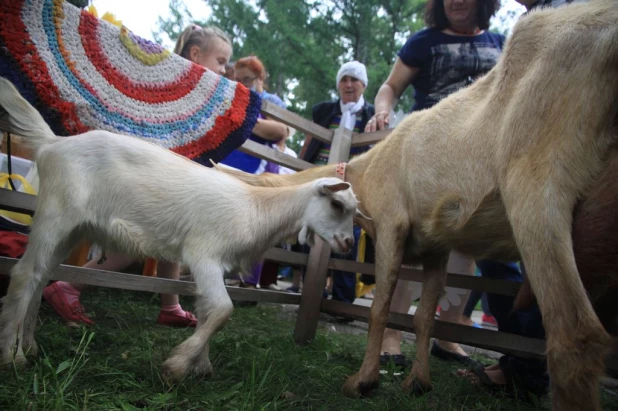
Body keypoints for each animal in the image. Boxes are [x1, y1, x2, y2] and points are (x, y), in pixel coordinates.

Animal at [0, 78, 356, 384]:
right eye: (337, 204)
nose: (347, 242)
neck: (257, 209)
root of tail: (52, 144)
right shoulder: (203, 253)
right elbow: (222, 310)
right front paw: (177, 364)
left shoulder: (216, 265)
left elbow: (208, 311)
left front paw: (201, 365)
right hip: (55, 213)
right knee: (24, 273)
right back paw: (12, 357)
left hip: (72, 229)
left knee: (40, 276)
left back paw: (30, 346)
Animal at [215, 1, 616, 410]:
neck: (366, 171)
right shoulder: (437, 246)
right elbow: (424, 318)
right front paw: (418, 381)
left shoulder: (392, 224)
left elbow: (381, 308)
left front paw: (364, 380)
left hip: (537, 181)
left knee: (575, 336)